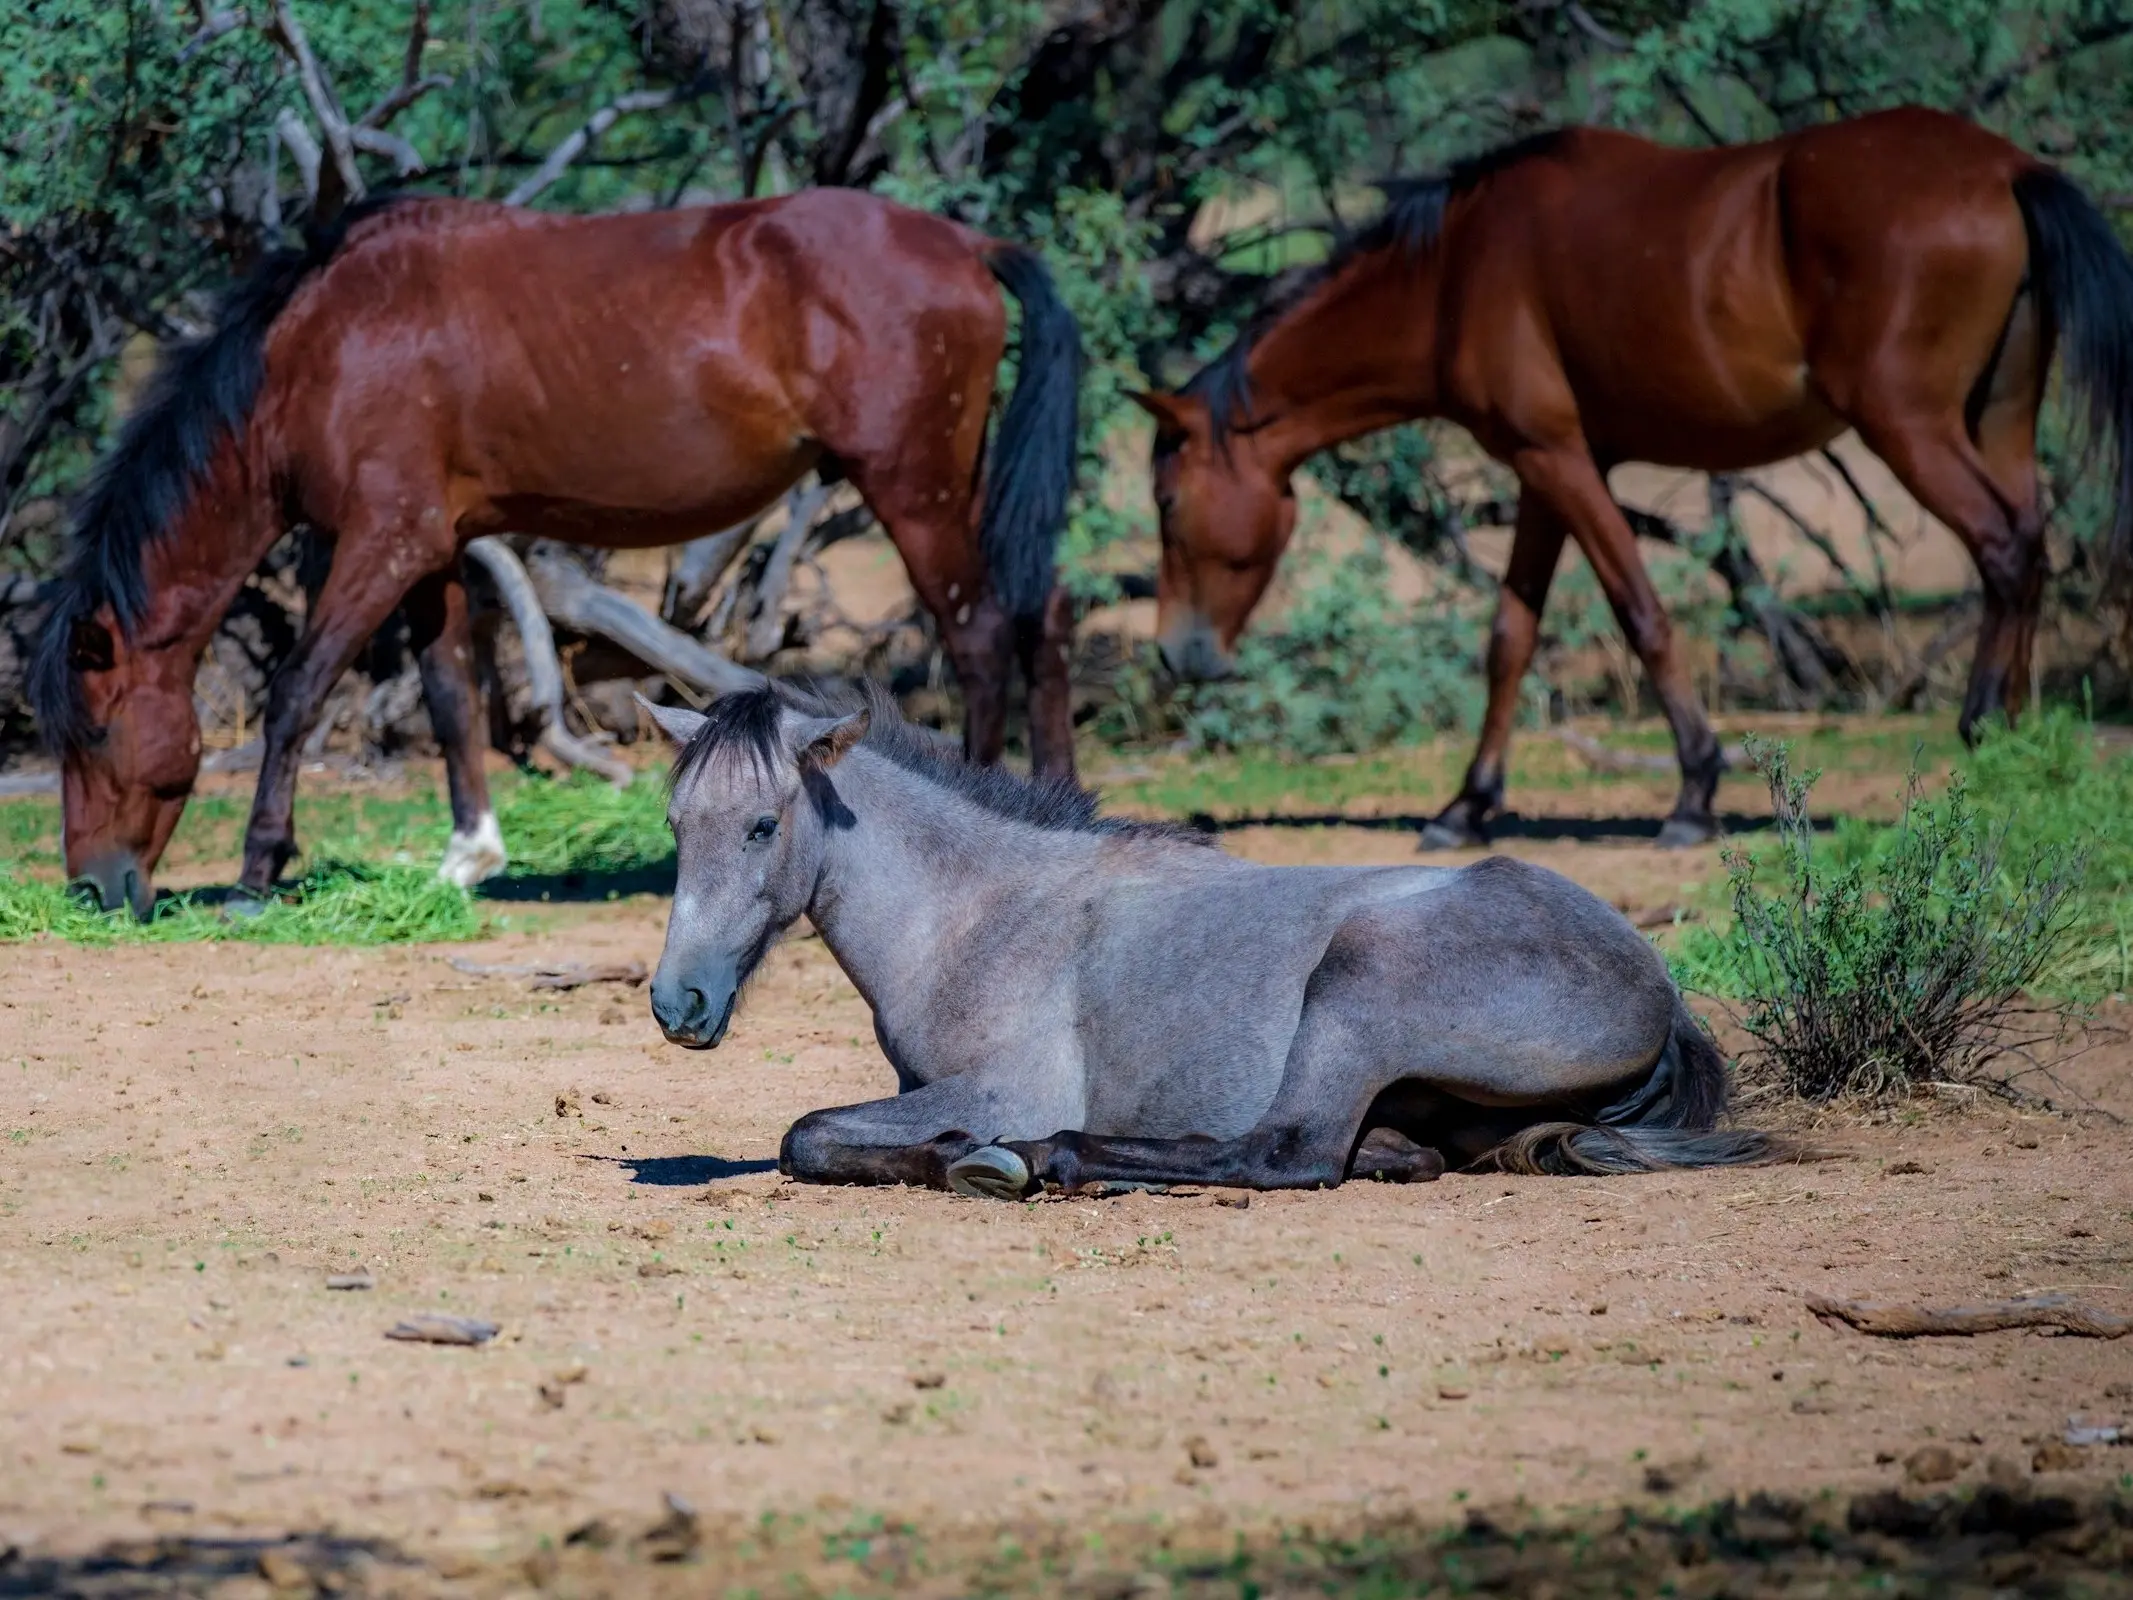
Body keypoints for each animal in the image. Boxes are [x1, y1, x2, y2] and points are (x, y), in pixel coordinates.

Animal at [639, 682, 1774, 1194]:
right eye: (676, 823)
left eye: (761, 824)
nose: (676, 1003)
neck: (980, 910)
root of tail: (1657, 989)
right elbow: (820, 1135)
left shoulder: (1010, 1084)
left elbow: (807, 1133)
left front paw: (973, 1155)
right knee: (1378, 1150)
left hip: (1357, 984)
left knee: (1286, 1153)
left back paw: (1054, 1159)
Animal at [1134, 105, 2133, 844]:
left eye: (1167, 502)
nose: (1177, 654)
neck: (1454, 271)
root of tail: (2004, 170)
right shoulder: (1539, 473)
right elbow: (1510, 635)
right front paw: (1467, 805)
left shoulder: (1562, 461)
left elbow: (1641, 614)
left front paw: (1694, 792)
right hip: (1997, 419)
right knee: (2031, 543)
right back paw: (2017, 740)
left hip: (1908, 425)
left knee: (2002, 549)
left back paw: (1981, 731)